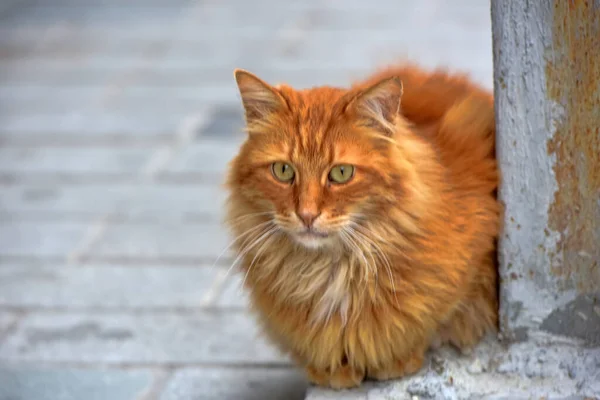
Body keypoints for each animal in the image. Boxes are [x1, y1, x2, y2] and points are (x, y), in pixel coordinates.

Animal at [223, 64, 500, 390]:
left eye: (341, 173)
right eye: (283, 171)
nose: (306, 215)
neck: (330, 270)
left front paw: (394, 361)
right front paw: (332, 371)